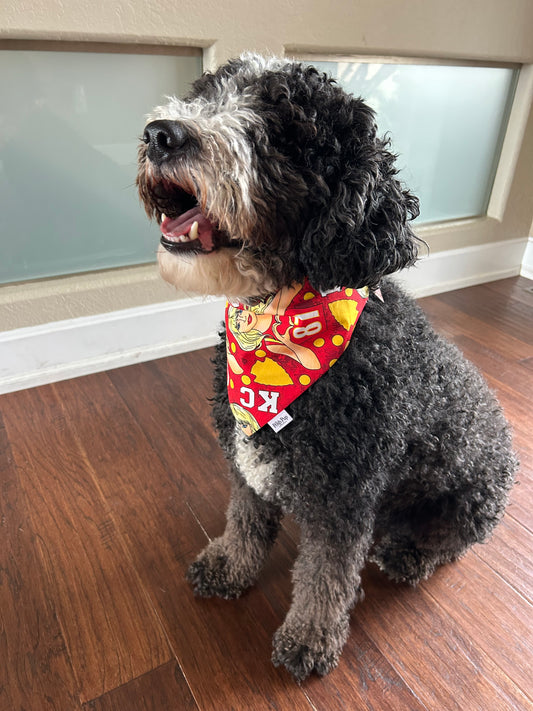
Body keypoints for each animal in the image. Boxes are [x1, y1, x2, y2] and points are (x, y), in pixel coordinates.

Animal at [137, 54, 516, 680]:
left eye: (284, 133)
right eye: (205, 93)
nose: (161, 134)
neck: (282, 322)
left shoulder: (346, 496)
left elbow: (326, 577)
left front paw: (309, 639)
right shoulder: (248, 462)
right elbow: (245, 521)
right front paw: (229, 565)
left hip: (471, 500)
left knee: (447, 543)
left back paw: (409, 553)